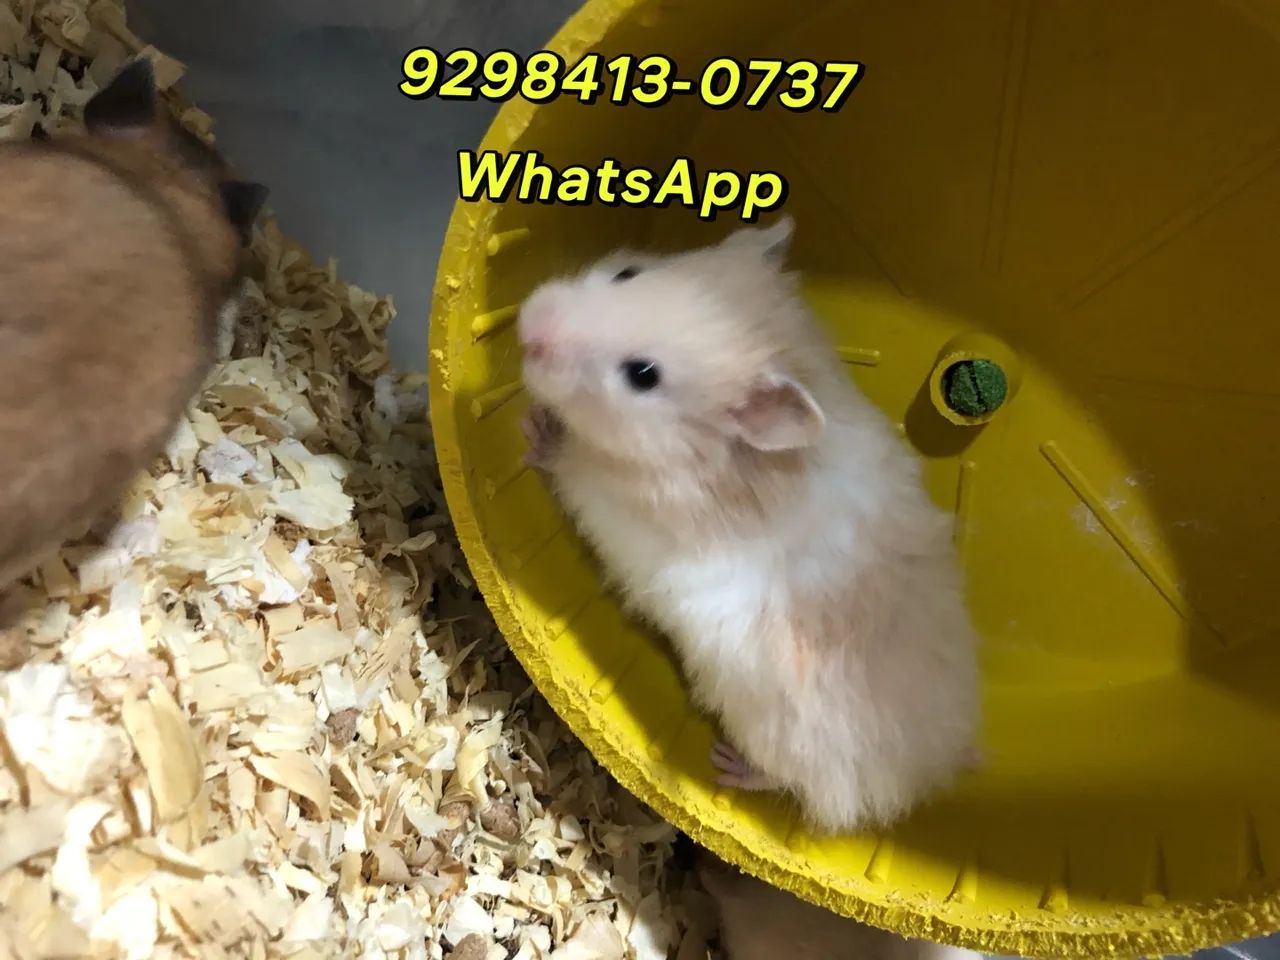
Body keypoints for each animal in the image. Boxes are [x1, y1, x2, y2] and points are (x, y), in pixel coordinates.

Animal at [516, 216, 981, 832]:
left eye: (643, 375)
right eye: (627, 273)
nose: (527, 330)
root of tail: (936, 767)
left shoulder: (605, 497)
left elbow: (564, 464)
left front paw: (534, 427)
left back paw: (728, 766)